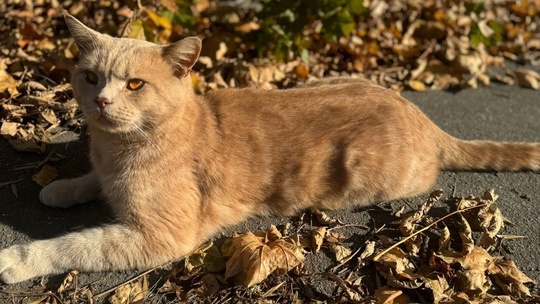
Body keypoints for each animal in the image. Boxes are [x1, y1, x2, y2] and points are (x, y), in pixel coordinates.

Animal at [1, 12, 540, 284]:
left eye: (134, 84)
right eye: (90, 77)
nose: (102, 101)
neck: (116, 150)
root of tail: (422, 116)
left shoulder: (162, 236)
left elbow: (77, 243)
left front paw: (19, 260)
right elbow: (88, 182)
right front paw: (62, 189)